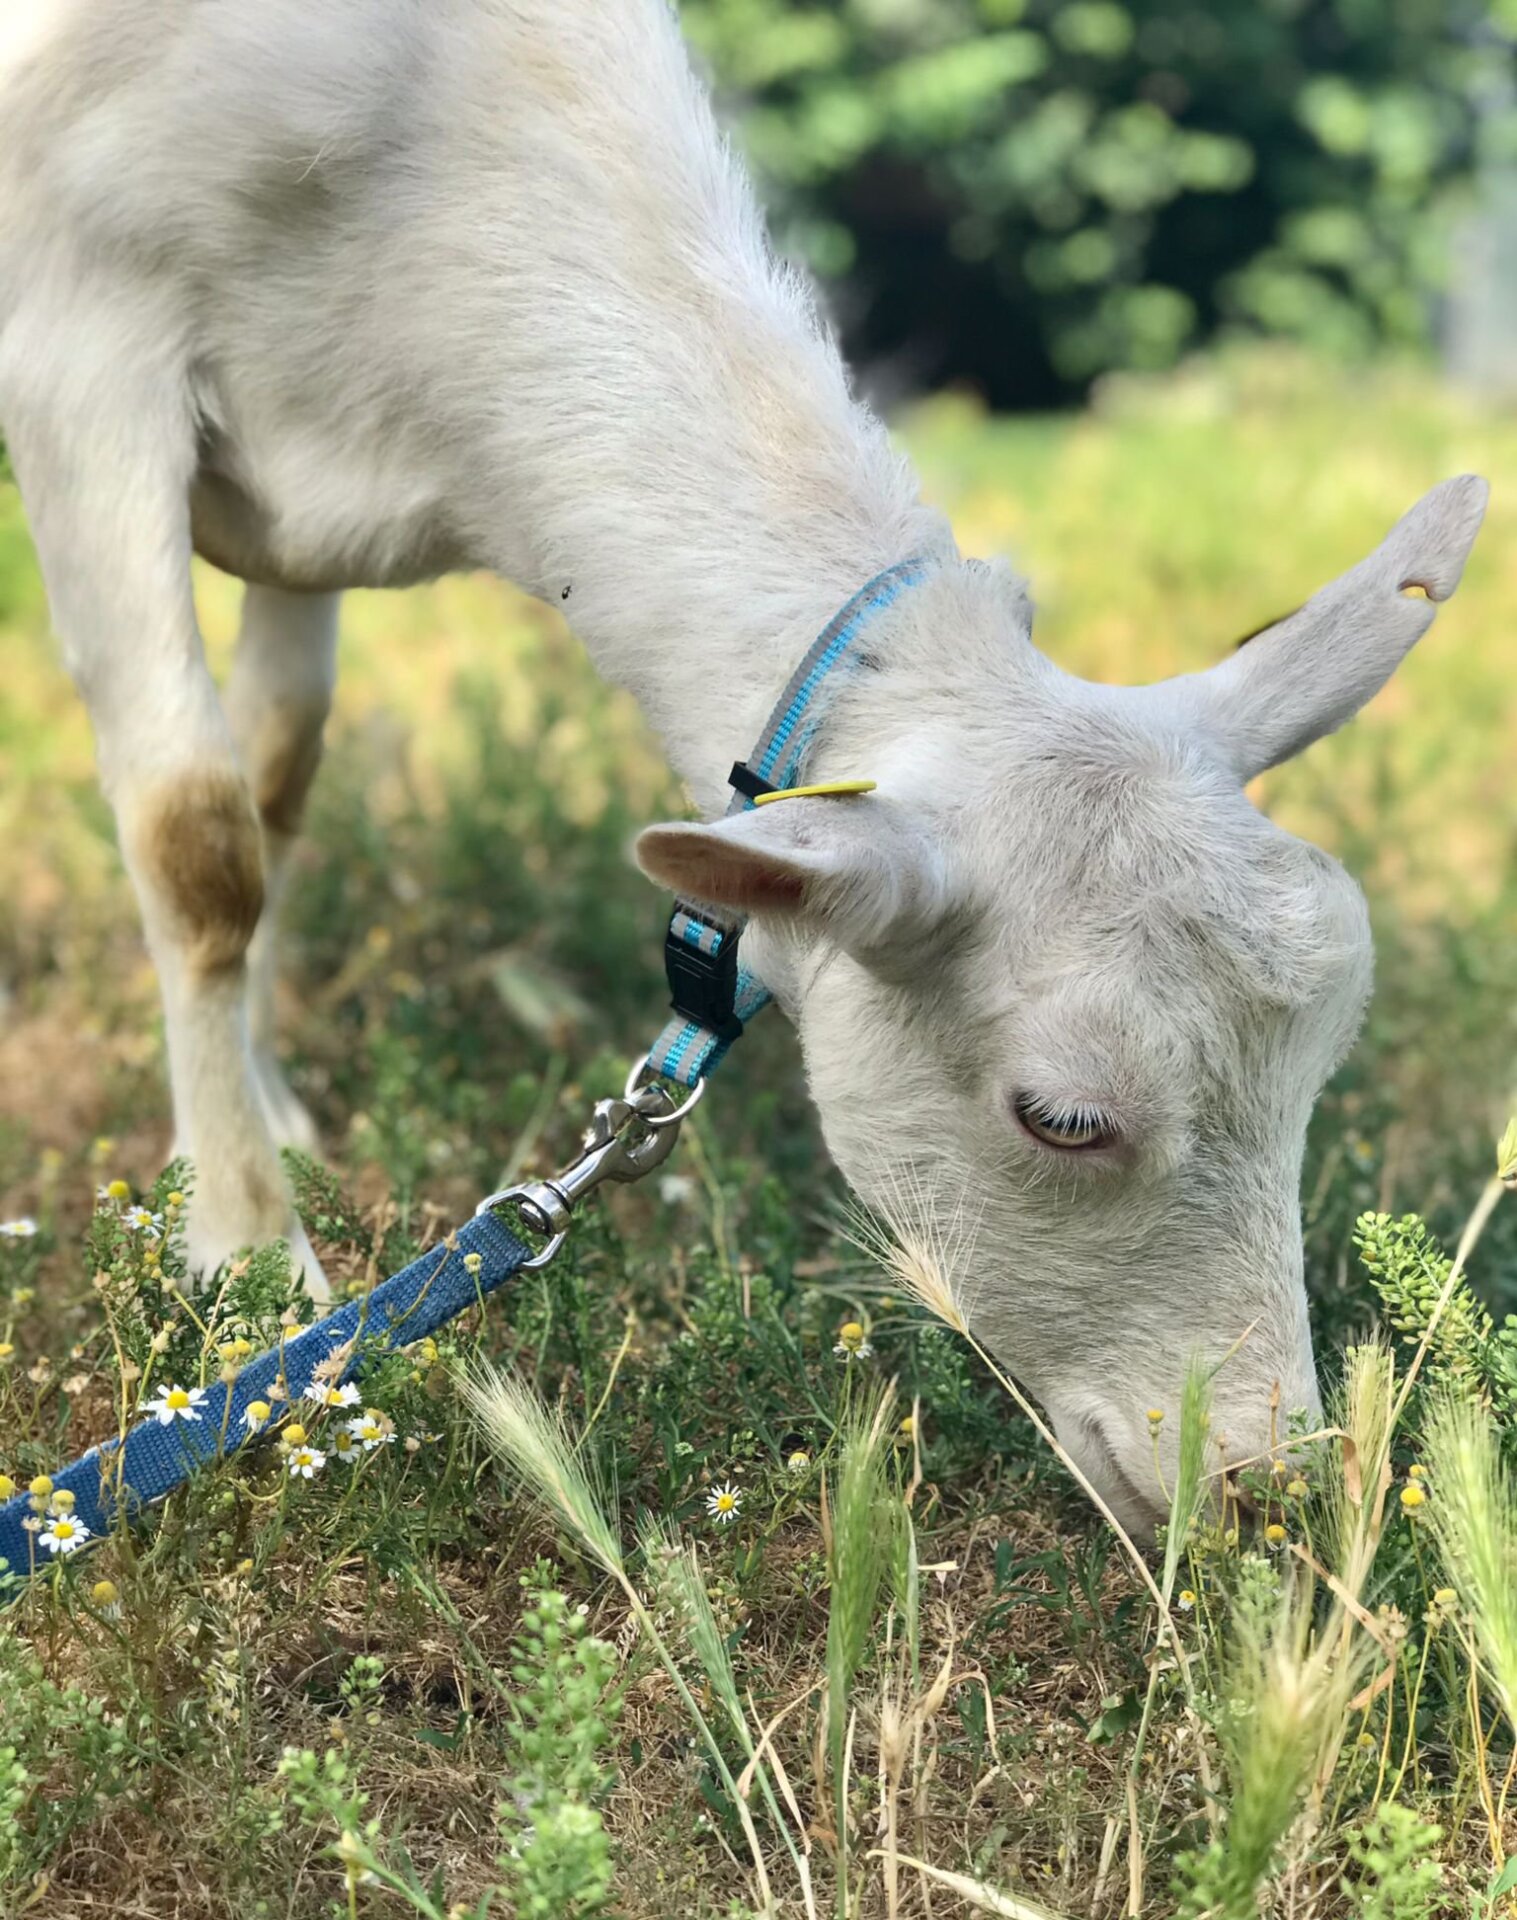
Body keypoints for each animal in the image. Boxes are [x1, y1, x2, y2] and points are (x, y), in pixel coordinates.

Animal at [0, 0, 1490, 1528]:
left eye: (1318, 1074)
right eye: (1062, 1118)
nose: (1264, 1484)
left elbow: (279, 783)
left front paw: (253, 1124)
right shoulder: (80, 358)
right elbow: (200, 843)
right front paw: (245, 1259)